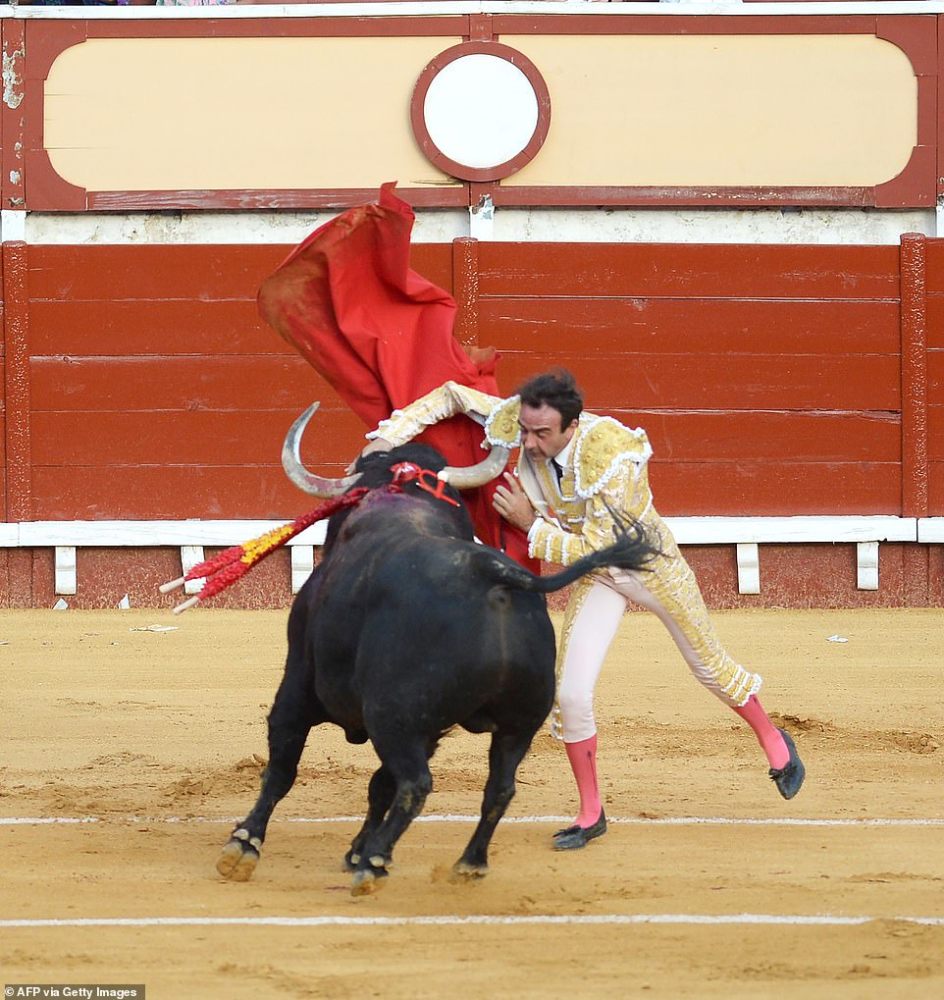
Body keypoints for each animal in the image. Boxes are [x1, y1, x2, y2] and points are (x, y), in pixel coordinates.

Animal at [217, 402, 652, 896]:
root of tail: (493, 575)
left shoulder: (300, 684)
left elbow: (283, 767)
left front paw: (245, 844)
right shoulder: (430, 730)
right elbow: (377, 786)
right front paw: (354, 850)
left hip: (392, 716)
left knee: (416, 784)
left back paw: (376, 864)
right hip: (518, 722)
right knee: (498, 787)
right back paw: (468, 862)